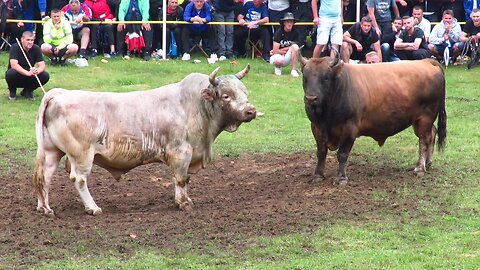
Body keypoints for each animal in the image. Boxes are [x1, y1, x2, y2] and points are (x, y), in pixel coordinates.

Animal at [33, 65, 255, 215]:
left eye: (245, 92)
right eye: (226, 96)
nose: (251, 111)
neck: (193, 106)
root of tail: (59, 93)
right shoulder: (180, 152)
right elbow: (181, 179)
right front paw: (184, 203)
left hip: (52, 151)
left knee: (44, 176)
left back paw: (45, 207)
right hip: (82, 155)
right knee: (78, 179)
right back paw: (92, 208)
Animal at [300, 51, 446, 184]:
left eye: (325, 77)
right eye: (305, 77)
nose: (311, 98)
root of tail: (426, 61)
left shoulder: (350, 128)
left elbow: (342, 154)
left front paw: (341, 178)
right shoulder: (316, 128)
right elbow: (321, 152)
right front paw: (318, 175)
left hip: (425, 117)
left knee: (424, 140)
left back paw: (420, 167)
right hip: (419, 120)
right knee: (432, 133)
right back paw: (428, 163)